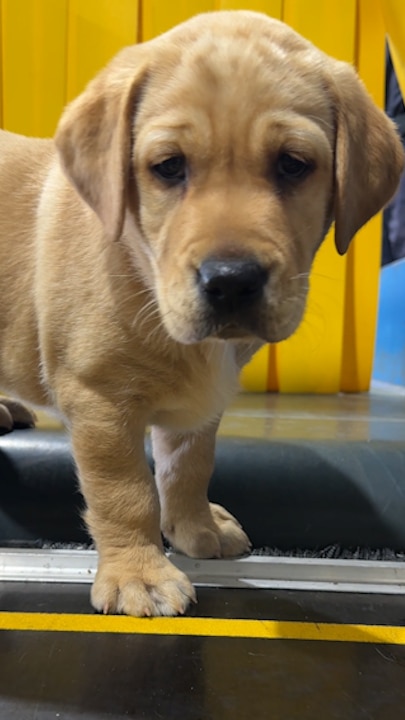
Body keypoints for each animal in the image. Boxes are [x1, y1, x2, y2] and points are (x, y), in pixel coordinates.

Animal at [0, 11, 400, 616]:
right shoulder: (98, 398)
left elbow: (188, 467)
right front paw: (138, 574)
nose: (231, 280)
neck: (142, 271)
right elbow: (124, 492)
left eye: (293, 165)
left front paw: (194, 528)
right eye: (169, 167)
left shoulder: (201, 405)